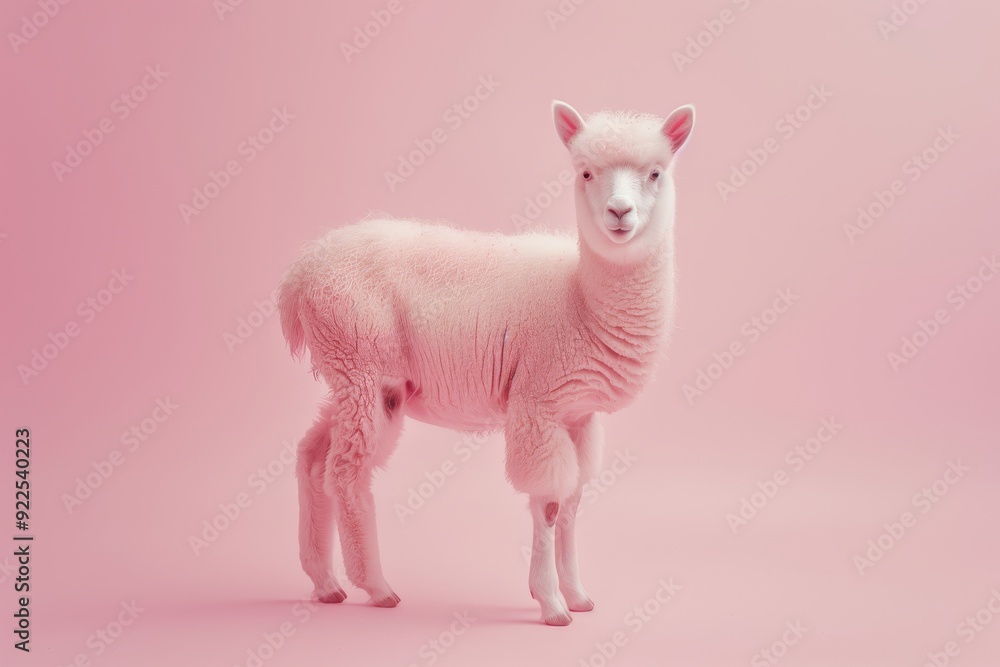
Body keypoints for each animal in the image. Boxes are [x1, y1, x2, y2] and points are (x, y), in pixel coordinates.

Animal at [278, 100, 695, 626]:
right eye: (585, 172)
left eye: (656, 173)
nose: (619, 213)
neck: (579, 298)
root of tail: (302, 273)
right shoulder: (538, 402)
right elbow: (549, 505)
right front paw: (551, 603)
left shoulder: (578, 415)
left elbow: (573, 503)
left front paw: (579, 595)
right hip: (361, 362)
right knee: (347, 473)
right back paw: (376, 587)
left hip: (349, 376)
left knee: (312, 457)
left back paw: (324, 582)